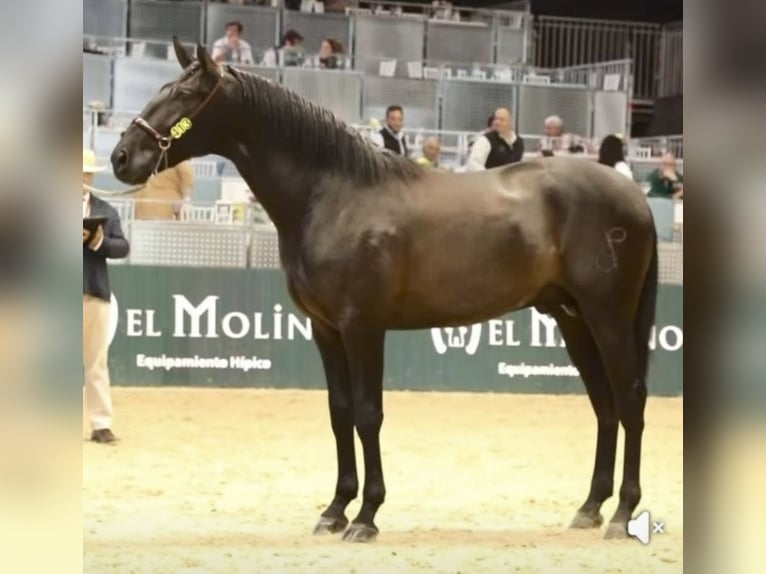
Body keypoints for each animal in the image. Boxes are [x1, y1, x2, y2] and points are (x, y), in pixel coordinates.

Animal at [111, 39, 658, 543]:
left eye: (184, 94)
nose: (120, 157)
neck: (335, 195)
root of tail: (634, 195)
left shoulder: (363, 327)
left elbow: (368, 415)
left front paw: (366, 516)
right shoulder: (326, 329)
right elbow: (340, 413)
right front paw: (335, 510)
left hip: (608, 315)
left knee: (630, 399)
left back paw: (623, 514)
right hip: (572, 318)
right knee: (605, 405)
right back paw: (590, 508)